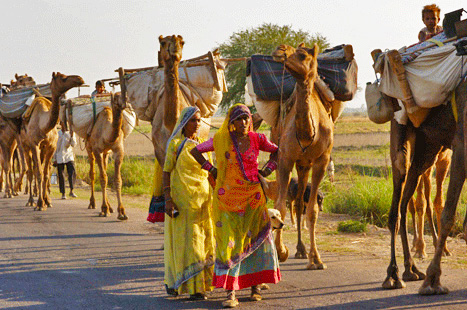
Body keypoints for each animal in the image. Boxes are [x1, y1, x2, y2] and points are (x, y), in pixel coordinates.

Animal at [21, 72, 84, 211]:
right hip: (25, 147)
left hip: (42, 150)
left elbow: (45, 174)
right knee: (30, 171)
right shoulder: (34, 145)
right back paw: (30, 201)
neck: (43, 125)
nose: (80, 78)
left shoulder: (51, 147)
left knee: (39, 169)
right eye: (63, 78)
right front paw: (39, 204)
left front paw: (47, 201)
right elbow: (39, 173)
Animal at [272, 43, 334, 268]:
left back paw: (302, 250)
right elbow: (280, 206)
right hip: (294, 162)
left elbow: (313, 210)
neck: (307, 134)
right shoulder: (285, 158)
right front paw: (281, 251)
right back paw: (297, 249)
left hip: (305, 164)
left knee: (300, 203)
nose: (279, 49)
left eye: (303, 55)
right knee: (294, 202)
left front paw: (316, 259)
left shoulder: (321, 161)